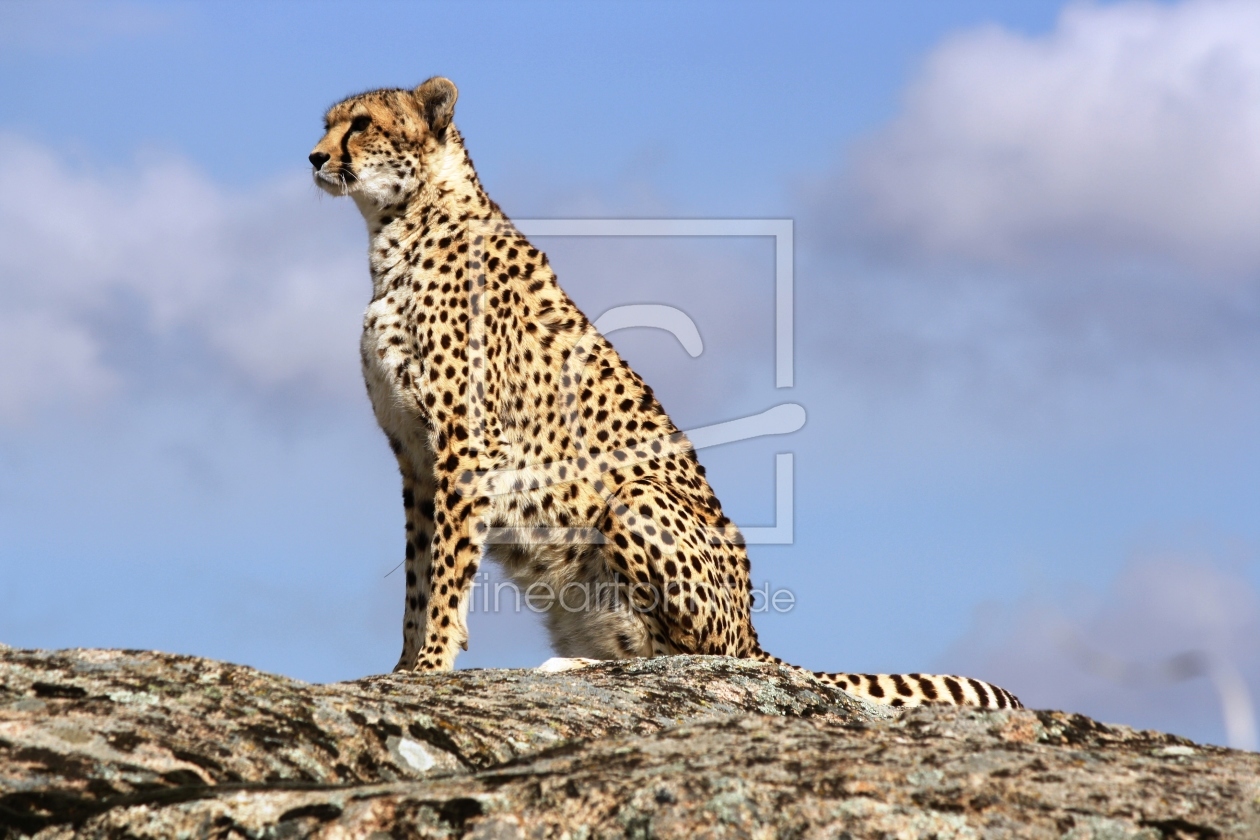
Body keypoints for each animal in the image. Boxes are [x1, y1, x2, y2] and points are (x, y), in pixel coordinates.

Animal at [308, 77, 1022, 710]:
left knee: (689, 659)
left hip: (635, 499)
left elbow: (446, 573)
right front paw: (400, 668)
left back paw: (576, 667)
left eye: (362, 124)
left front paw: (431, 664)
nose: (315, 156)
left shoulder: (465, 448)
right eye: (328, 122)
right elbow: (416, 572)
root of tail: (753, 633)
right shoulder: (416, 457)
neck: (400, 229)